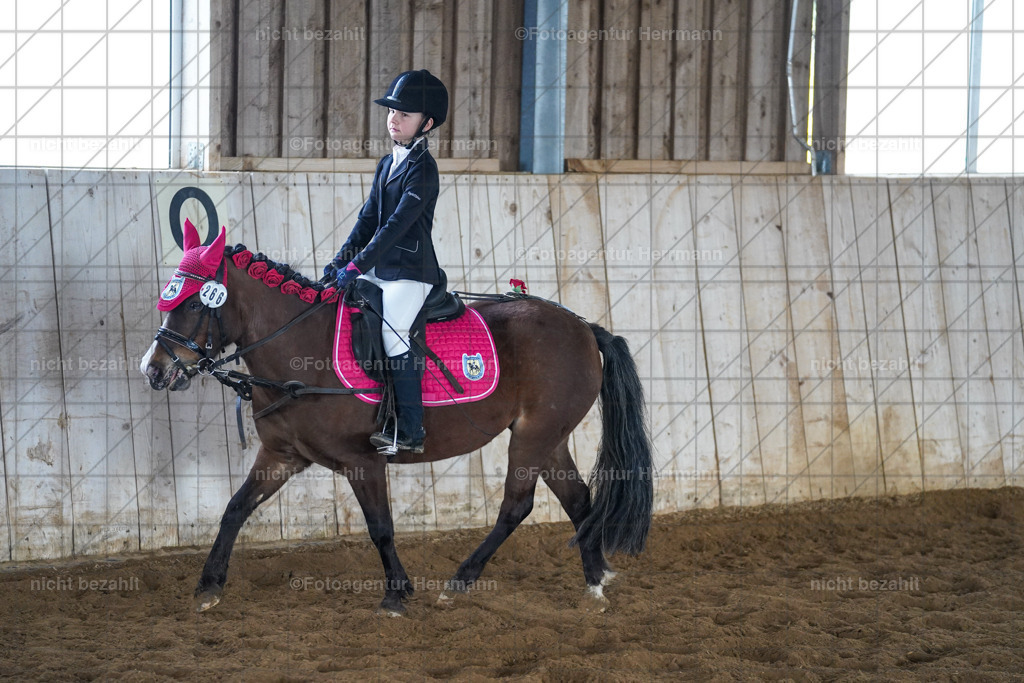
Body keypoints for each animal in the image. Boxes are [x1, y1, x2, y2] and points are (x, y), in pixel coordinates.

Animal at [140, 223, 653, 615]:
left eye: (192, 303)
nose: (153, 370)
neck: (300, 351)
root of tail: (584, 327)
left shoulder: (362, 462)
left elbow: (381, 528)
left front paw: (395, 594)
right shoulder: (281, 456)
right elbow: (234, 509)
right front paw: (208, 586)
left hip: (533, 437)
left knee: (516, 507)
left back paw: (461, 582)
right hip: (549, 438)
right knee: (578, 499)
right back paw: (594, 583)